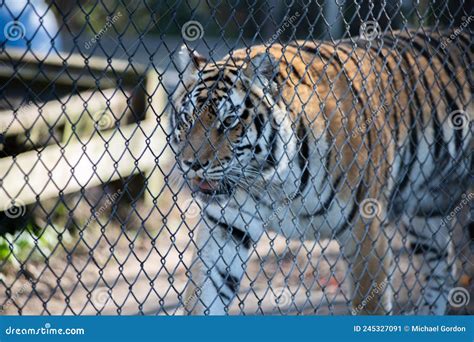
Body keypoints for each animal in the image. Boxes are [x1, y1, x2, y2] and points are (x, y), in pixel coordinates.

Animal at [171, 28, 474, 314]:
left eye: (229, 121)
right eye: (187, 118)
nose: (191, 163)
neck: (272, 182)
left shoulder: (366, 230)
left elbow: (370, 304)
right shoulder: (226, 226)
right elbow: (205, 294)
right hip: (426, 212)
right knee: (445, 267)